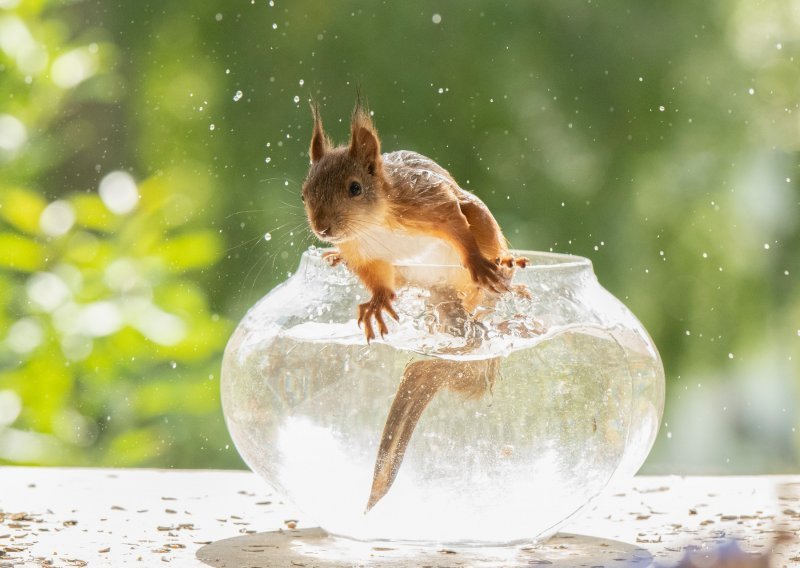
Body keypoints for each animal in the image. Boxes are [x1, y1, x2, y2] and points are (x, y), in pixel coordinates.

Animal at [300, 100, 524, 512]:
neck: (374, 225)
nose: (323, 229)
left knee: (477, 222)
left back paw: (501, 269)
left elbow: (459, 227)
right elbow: (374, 278)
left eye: (355, 188)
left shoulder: (430, 201)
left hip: (476, 220)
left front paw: (479, 262)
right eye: (304, 193)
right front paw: (376, 301)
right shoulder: (362, 254)